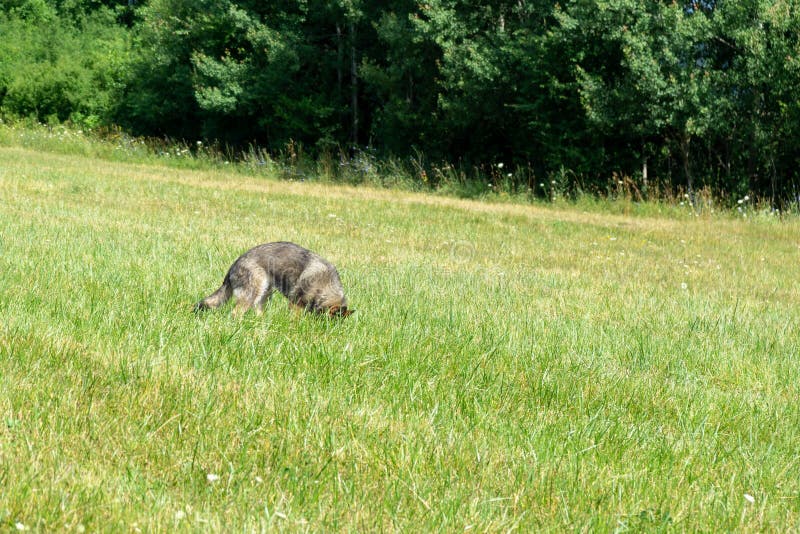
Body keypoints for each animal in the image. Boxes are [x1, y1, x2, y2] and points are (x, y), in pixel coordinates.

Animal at [194, 243, 354, 318]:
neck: (325, 284)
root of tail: (234, 264)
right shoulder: (296, 302)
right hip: (255, 290)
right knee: (236, 312)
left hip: (265, 292)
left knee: (257, 309)